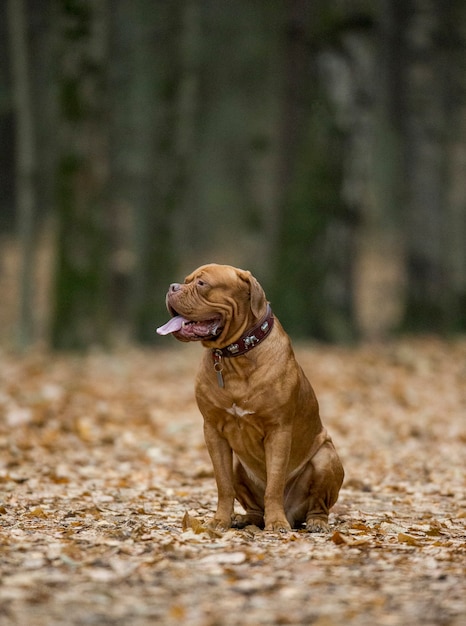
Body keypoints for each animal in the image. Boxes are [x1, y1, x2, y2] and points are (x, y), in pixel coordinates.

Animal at [158, 264, 344, 532]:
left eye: (202, 284)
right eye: (185, 280)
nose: (172, 287)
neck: (235, 356)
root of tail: (294, 514)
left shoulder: (278, 431)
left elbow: (274, 485)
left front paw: (276, 523)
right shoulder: (213, 431)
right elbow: (223, 485)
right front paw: (220, 520)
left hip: (326, 457)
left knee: (318, 506)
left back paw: (315, 522)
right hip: (238, 463)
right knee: (254, 508)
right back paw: (243, 519)